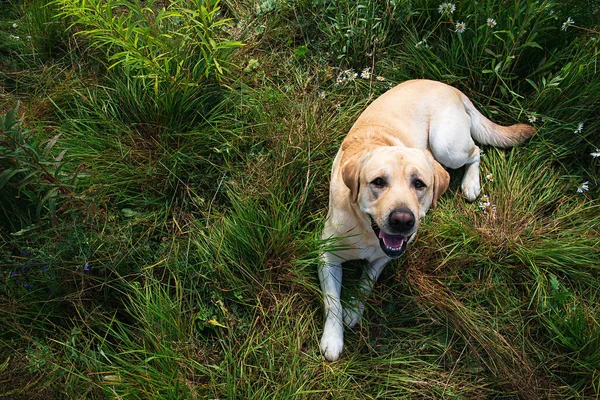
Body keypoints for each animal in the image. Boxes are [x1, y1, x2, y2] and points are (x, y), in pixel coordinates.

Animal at [318, 79, 536, 360]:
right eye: (378, 182)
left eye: (419, 184)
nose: (403, 221)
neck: (366, 232)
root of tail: (449, 87)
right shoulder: (327, 255)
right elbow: (332, 300)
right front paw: (333, 338)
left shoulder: (383, 258)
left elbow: (366, 281)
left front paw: (355, 309)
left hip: (446, 146)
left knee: (476, 150)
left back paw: (471, 184)